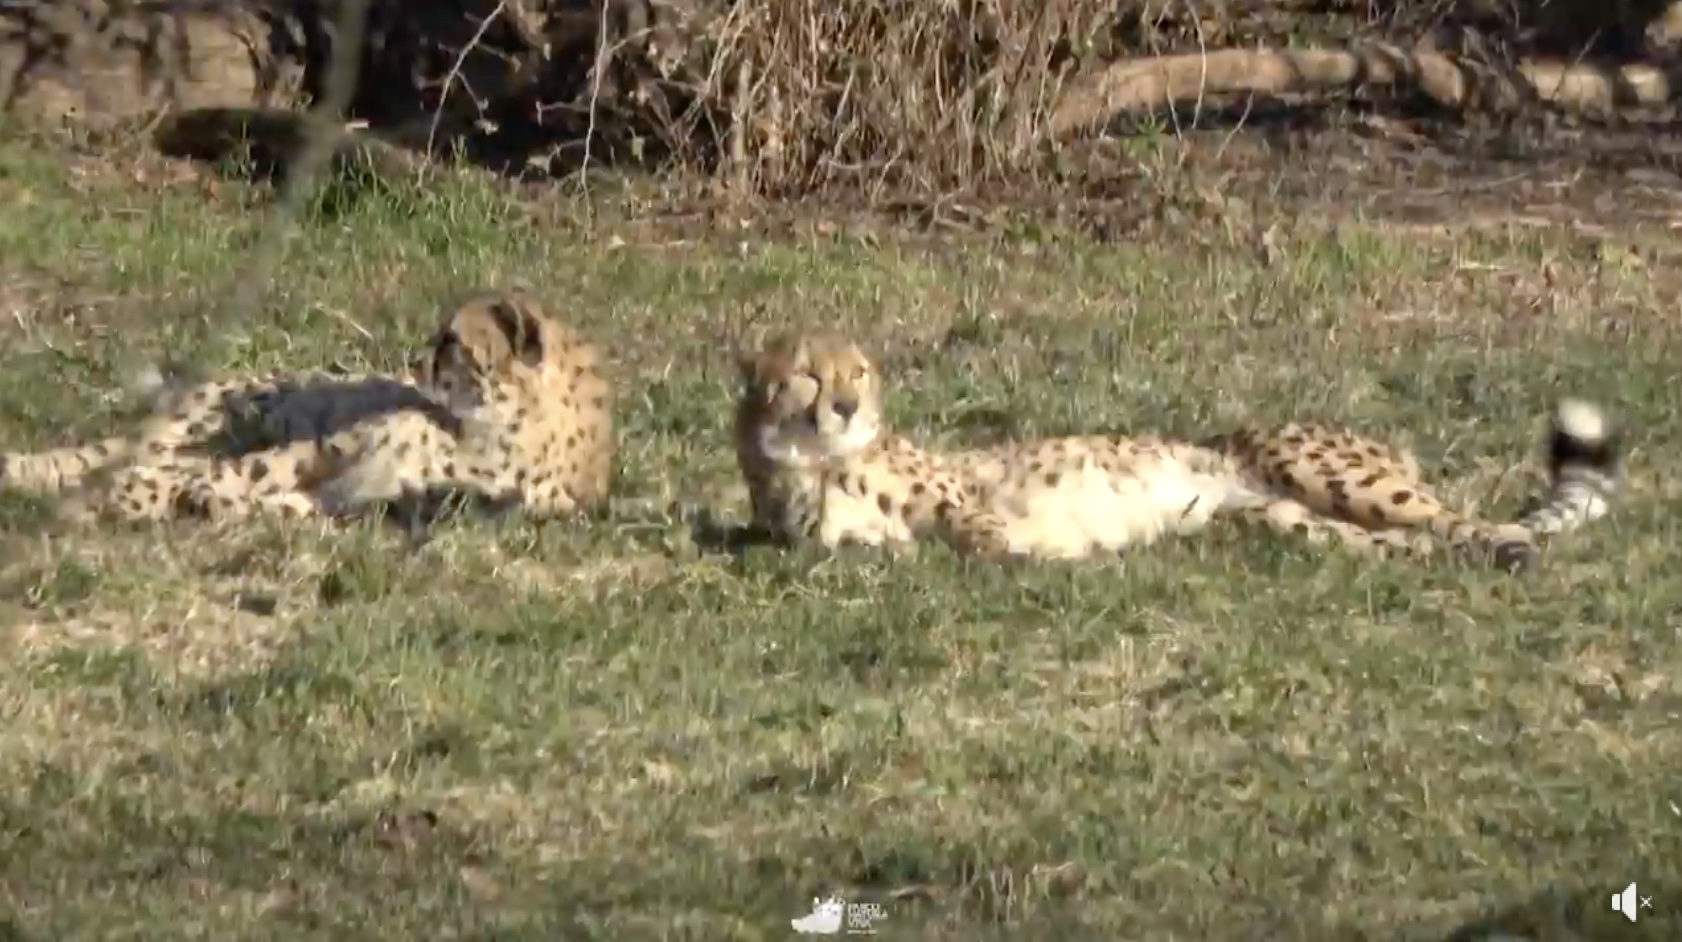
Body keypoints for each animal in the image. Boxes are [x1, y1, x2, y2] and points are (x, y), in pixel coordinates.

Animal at [0, 287, 618, 524]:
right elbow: (247, 471)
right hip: (222, 417)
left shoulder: (378, 495)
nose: (414, 362)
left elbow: (287, 501)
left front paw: (210, 502)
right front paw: (151, 494)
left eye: (451, 341)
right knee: (121, 454)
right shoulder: (325, 448)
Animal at [729, 331, 1621, 571]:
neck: (812, 463)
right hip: (1281, 519)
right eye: (807, 374)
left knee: (1466, 521)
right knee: (1398, 544)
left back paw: (1511, 547)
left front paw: (1031, 550)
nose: (846, 405)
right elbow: (874, 547)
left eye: (858, 372)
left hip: (1322, 470)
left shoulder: (960, 500)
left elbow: (979, 532)